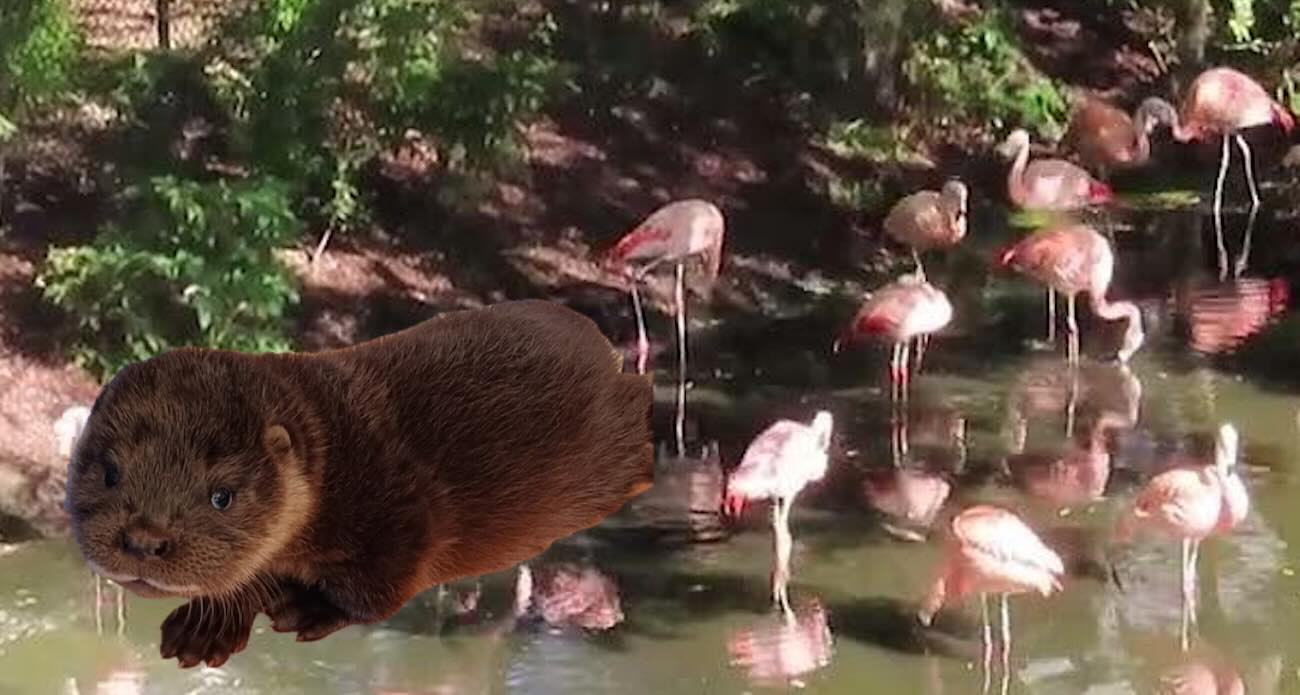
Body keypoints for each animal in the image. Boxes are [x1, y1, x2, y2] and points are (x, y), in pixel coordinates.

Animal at [63, 299, 654, 668]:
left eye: (221, 495)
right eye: (110, 472)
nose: (144, 540)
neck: (339, 457)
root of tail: (610, 355)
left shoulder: (402, 512)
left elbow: (379, 587)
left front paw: (307, 608)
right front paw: (206, 628)